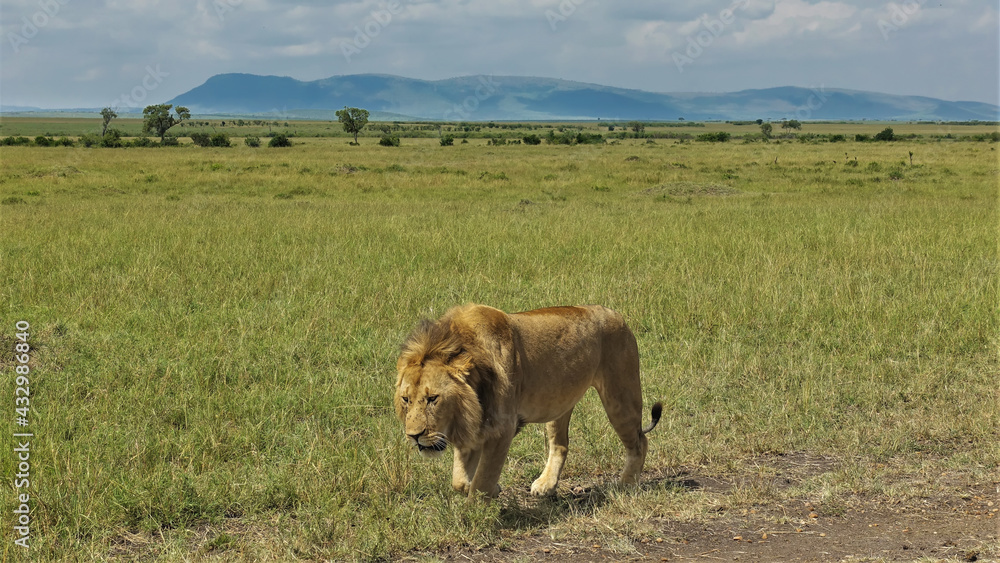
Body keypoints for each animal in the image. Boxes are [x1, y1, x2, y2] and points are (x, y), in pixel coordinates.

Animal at [393, 304, 662, 498]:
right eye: (406, 399)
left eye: (433, 399)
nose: (413, 436)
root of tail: (616, 314)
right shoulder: (474, 425)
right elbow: (459, 480)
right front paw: (487, 489)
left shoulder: (502, 428)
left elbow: (482, 480)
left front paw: (476, 511)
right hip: (558, 402)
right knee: (560, 444)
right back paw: (546, 485)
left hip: (620, 397)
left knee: (640, 441)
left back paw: (627, 484)